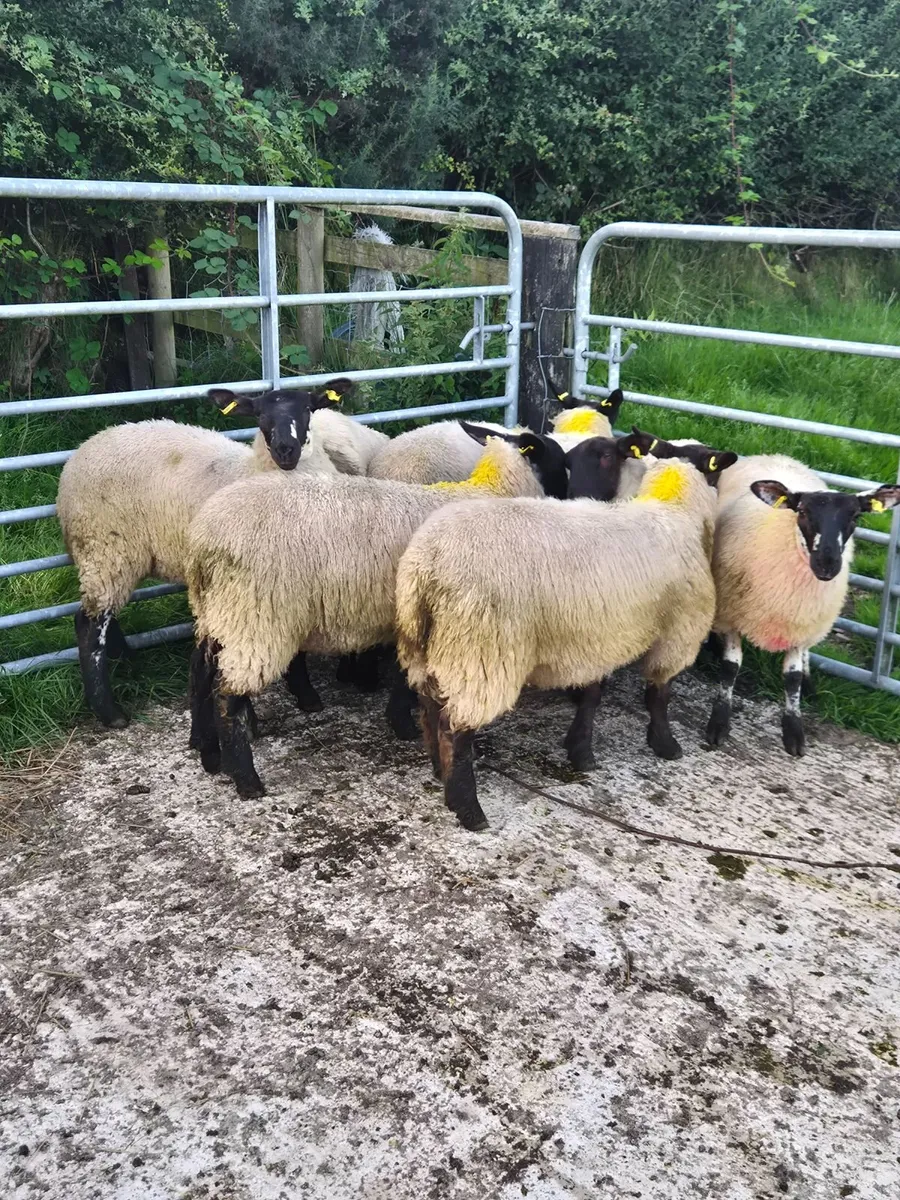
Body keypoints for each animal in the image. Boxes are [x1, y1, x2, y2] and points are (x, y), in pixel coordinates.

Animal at [56, 378, 354, 728]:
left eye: (308, 408)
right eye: (259, 414)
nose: (285, 450)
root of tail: (83, 450)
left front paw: (306, 697)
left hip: (109, 556)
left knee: (106, 616)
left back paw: (127, 663)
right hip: (105, 546)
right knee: (89, 624)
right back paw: (110, 712)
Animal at [184, 425, 569, 798]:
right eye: (559, 461)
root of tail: (203, 540)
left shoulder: (409, 618)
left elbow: (405, 675)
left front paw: (399, 720)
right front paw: (404, 724)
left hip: (218, 612)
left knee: (200, 674)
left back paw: (207, 752)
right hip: (256, 617)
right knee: (227, 697)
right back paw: (246, 781)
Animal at [395, 444, 737, 831]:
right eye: (717, 472)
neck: (676, 510)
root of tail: (427, 564)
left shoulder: (600, 638)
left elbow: (591, 696)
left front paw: (581, 752)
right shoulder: (677, 632)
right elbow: (659, 695)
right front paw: (666, 744)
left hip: (426, 645)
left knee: (429, 707)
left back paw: (440, 771)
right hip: (482, 650)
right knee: (455, 728)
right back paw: (467, 806)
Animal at [700, 454, 900, 756]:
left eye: (855, 516)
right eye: (803, 512)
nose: (827, 564)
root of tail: (779, 457)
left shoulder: (799, 623)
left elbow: (791, 678)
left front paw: (794, 730)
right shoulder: (732, 615)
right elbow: (730, 668)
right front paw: (719, 722)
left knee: (807, 652)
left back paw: (808, 681)